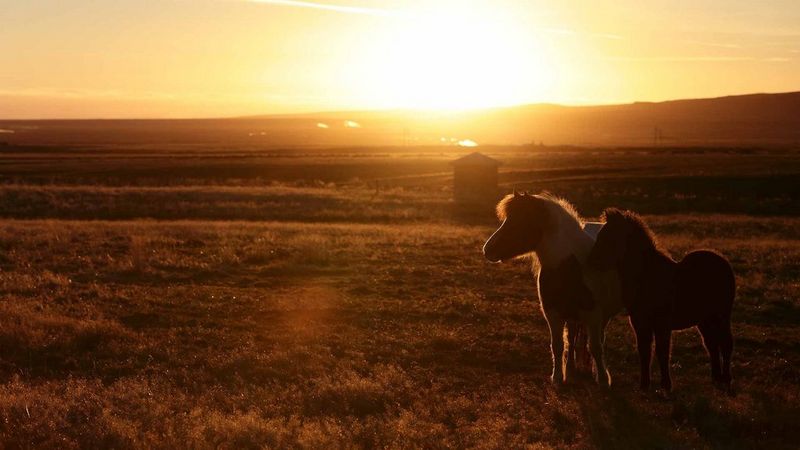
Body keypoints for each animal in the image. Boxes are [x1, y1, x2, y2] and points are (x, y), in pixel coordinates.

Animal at [483, 191, 622, 386]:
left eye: (520, 221)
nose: (487, 250)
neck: (571, 266)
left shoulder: (593, 314)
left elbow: (595, 347)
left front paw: (603, 380)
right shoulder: (553, 313)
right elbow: (557, 345)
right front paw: (557, 378)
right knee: (572, 338)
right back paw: (571, 368)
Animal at [587, 208, 735, 391]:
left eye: (610, 236)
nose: (591, 261)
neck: (647, 274)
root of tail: (722, 261)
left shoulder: (662, 322)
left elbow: (662, 351)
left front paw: (666, 385)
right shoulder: (639, 322)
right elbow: (644, 350)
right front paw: (644, 385)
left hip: (723, 315)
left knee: (726, 343)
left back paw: (726, 379)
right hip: (705, 319)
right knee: (711, 344)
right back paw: (716, 378)